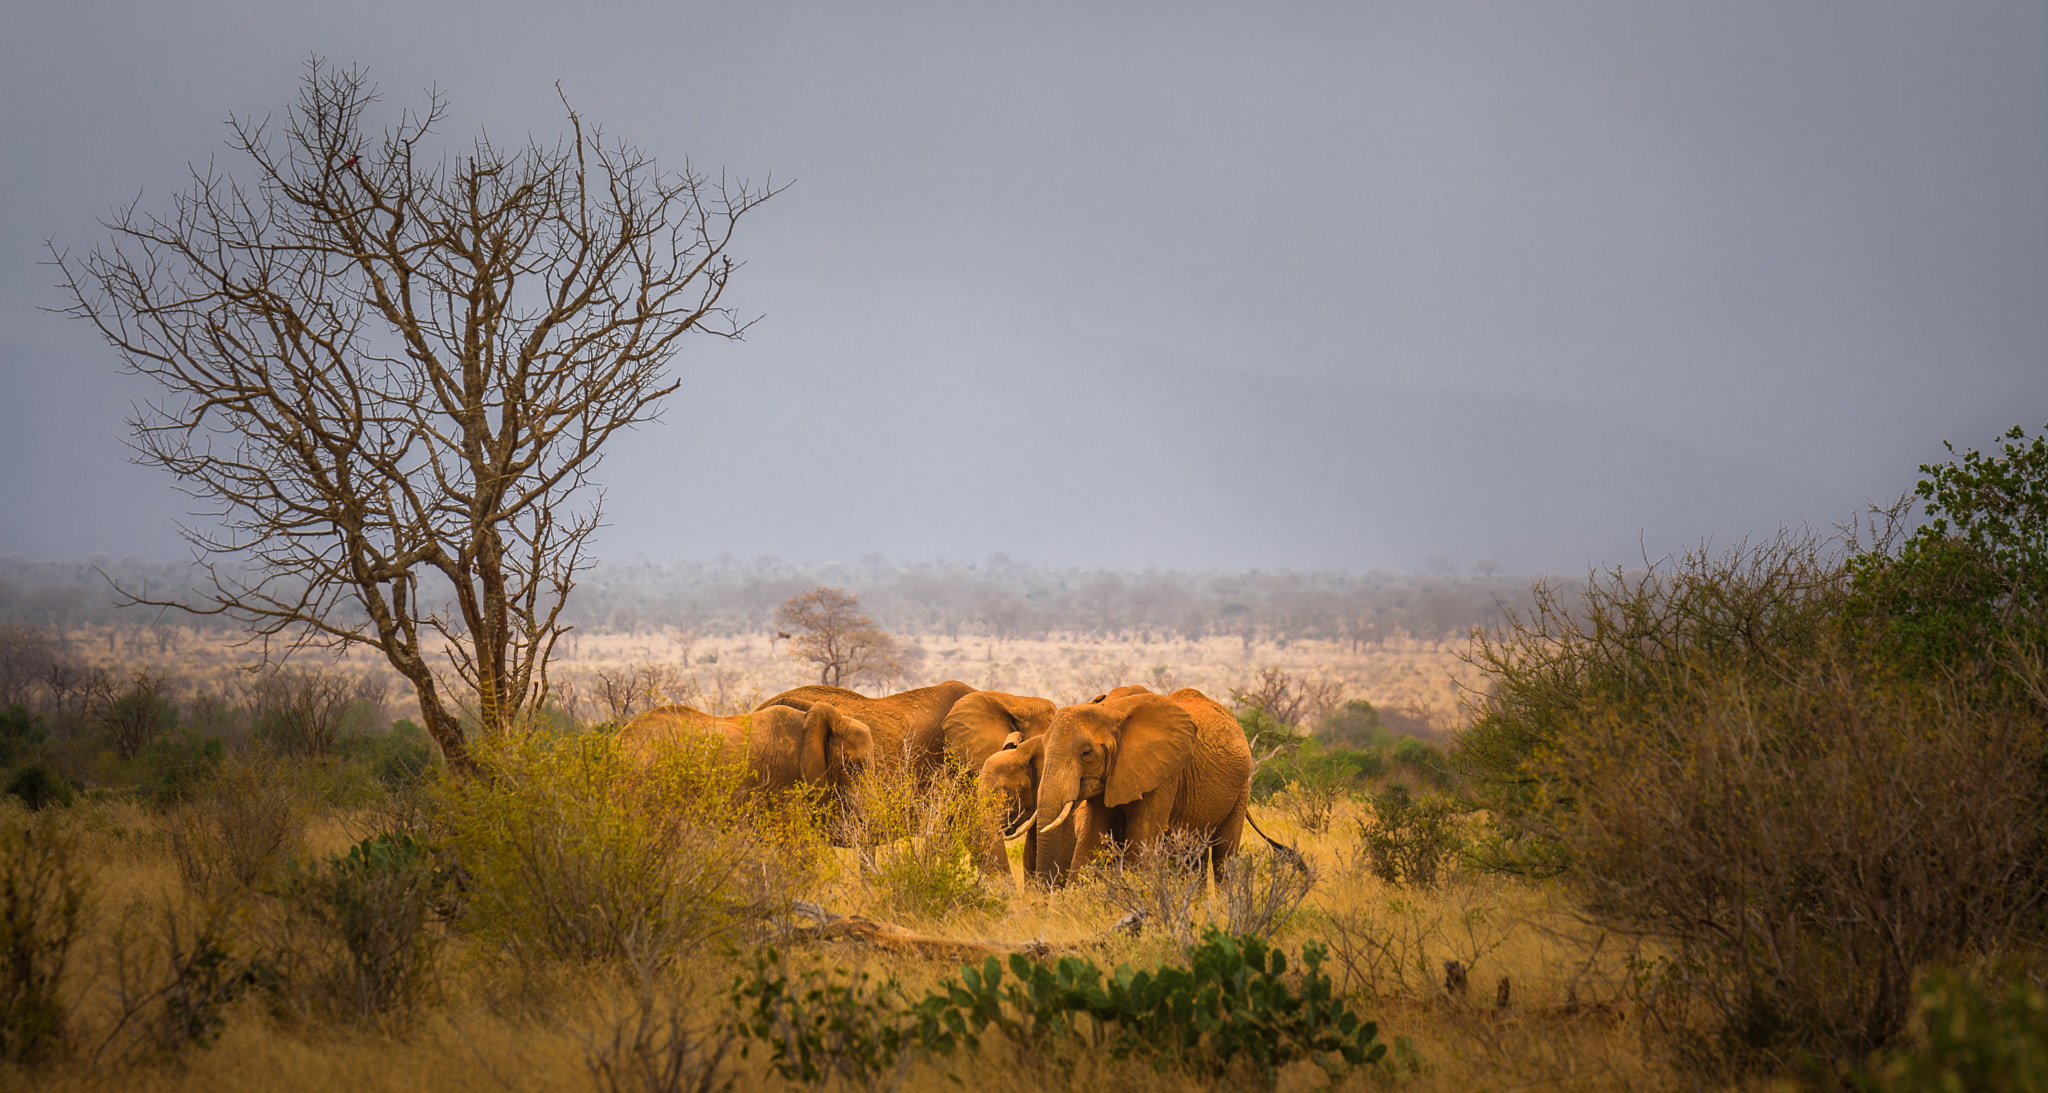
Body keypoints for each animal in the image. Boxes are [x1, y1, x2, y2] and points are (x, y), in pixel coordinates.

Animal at [1019, 695, 1245, 884]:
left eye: (1086, 753)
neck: (1112, 711)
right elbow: (1089, 843)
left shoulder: (1163, 775)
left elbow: (1140, 845)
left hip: (1242, 787)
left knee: (1224, 856)